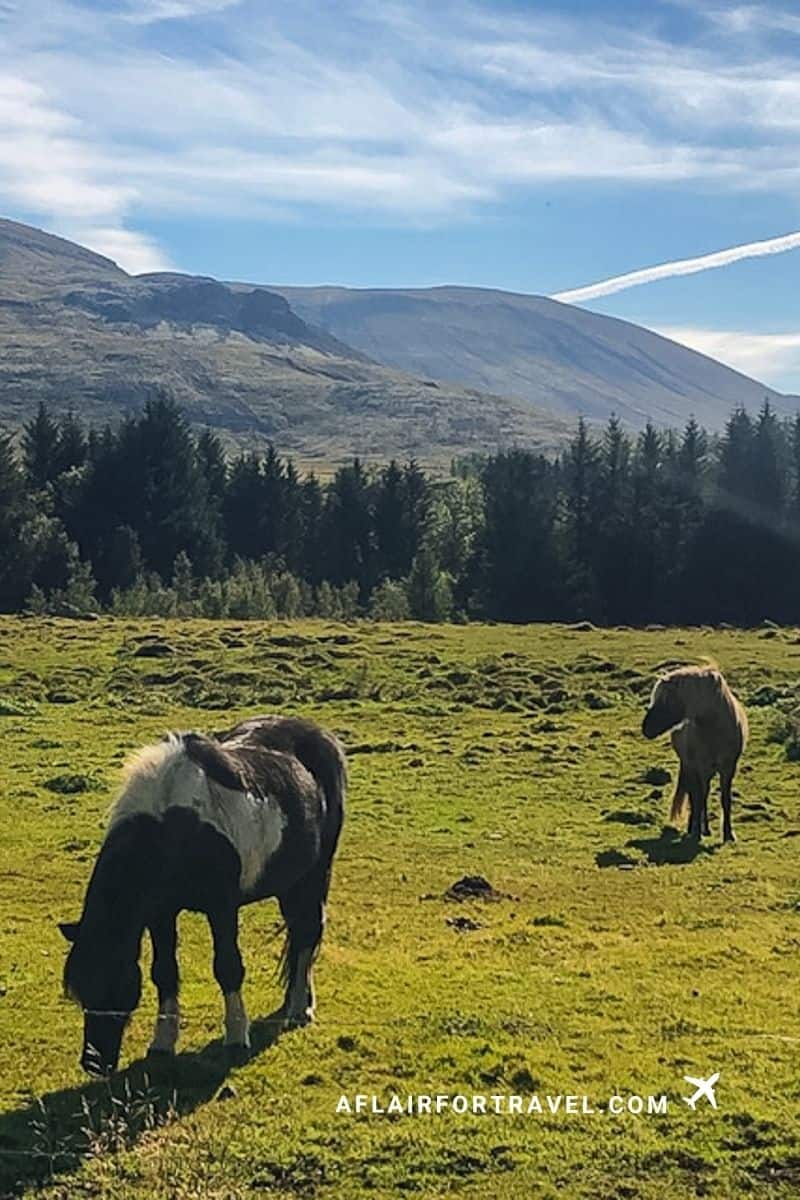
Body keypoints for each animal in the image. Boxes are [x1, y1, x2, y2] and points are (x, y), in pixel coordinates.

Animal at [59, 715, 346, 1076]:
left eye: (114, 983)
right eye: (81, 993)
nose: (94, 1062)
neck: (174, 824)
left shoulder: (221, 909)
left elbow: (228, 967)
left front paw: (236, 1037)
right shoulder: (161, 913)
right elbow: (164, 972)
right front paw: (162, 1043)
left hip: (314, 875)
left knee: (308, 933)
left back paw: (298, 1009)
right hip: (288, 883)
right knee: (298, 934)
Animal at [641, 665, 747, 843]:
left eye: (666, 700)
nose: (645, 729)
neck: (716, 729)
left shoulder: (728, 768)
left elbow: (725, 799)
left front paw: (728, 834)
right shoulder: (700, 767)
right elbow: (698, 798)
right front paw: (697, 832)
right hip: (691, 766)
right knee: (696, 795)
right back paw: (696, 828)